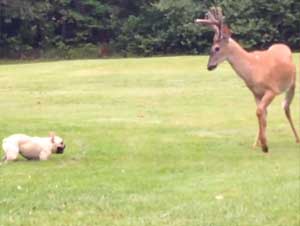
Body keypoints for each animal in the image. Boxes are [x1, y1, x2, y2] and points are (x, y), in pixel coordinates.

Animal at [195, 7, 300, 153]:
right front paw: (260, 143)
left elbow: (260, 112)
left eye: (216, 48)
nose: (209, 66)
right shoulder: (256, 93)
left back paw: (297, 139)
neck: (253, 70)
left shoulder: (272, 89)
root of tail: (283, 46)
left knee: (286, 107)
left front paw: (264, 145)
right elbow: (261, 114)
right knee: (269, 112)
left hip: (292, 83)